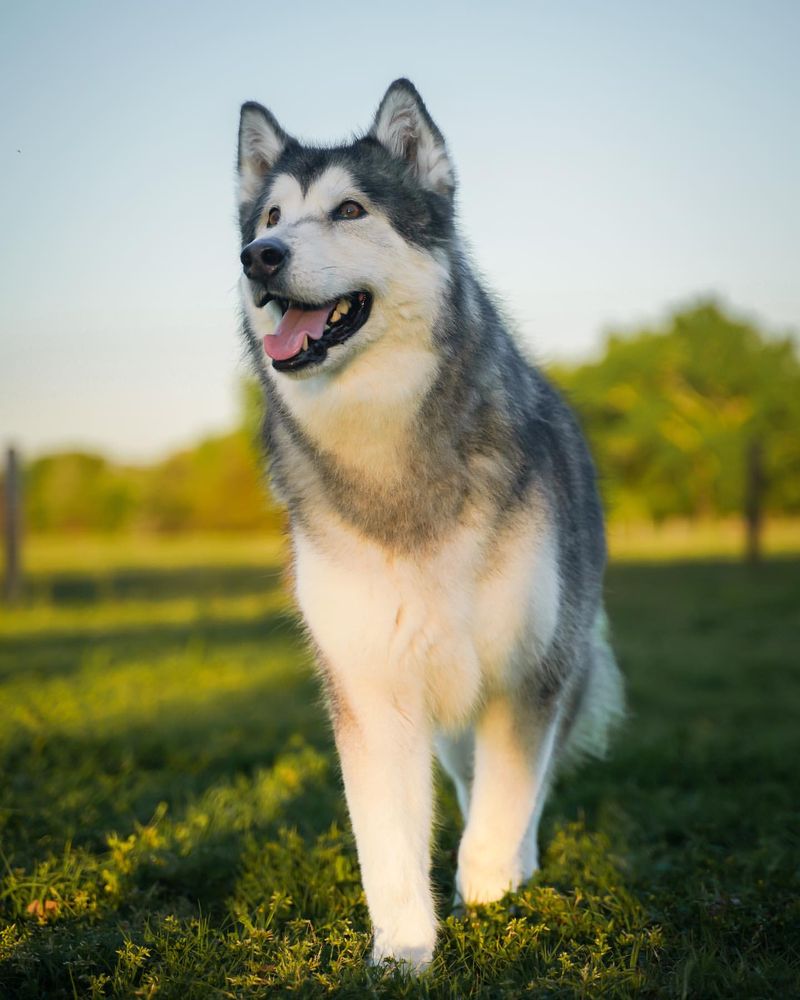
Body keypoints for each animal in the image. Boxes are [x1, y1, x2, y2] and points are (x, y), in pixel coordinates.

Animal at [234, 82, 620, 972]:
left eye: (349, 209)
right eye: (270, 215)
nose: (260, 257)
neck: (390, 457)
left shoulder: (530, 669)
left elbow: (508, 802)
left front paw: (492, 893)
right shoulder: (373, 686)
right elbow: (387, 842)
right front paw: (404, 950)